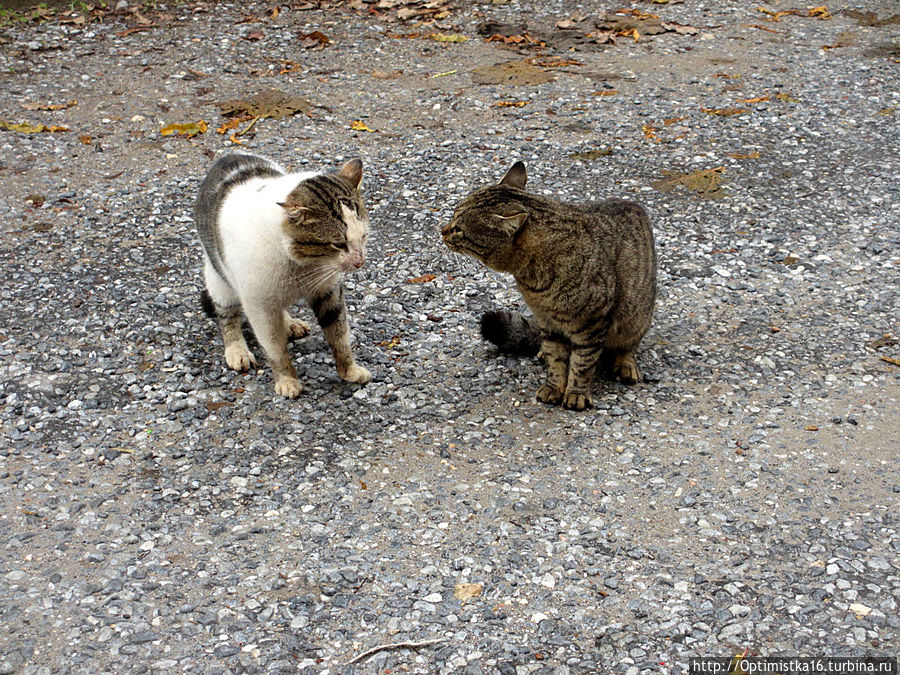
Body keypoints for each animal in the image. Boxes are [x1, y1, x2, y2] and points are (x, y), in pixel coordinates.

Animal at [195, 152, 370, 396]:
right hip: (219, 281)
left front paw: (349, 370)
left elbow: (340, 335)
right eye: (338, 244)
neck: (301, 265)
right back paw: (237, 349)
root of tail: (228, 157)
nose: (359, 261)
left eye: (363, 237)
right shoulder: (258, 304)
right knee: (228, 317)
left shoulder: (328, 291)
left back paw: (289, 323)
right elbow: (274, 347)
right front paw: (287, 380)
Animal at [442, 162, 652, 412]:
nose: (442, 230)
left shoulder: (592, 323)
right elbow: (556, 358)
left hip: (635, 317)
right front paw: (554, 387)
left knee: (627, 346)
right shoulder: (547, 321)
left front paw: (576, 393)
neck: (533, 280)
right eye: (452, 218)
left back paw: (626, 363)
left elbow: (582, 363)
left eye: (458, 229)